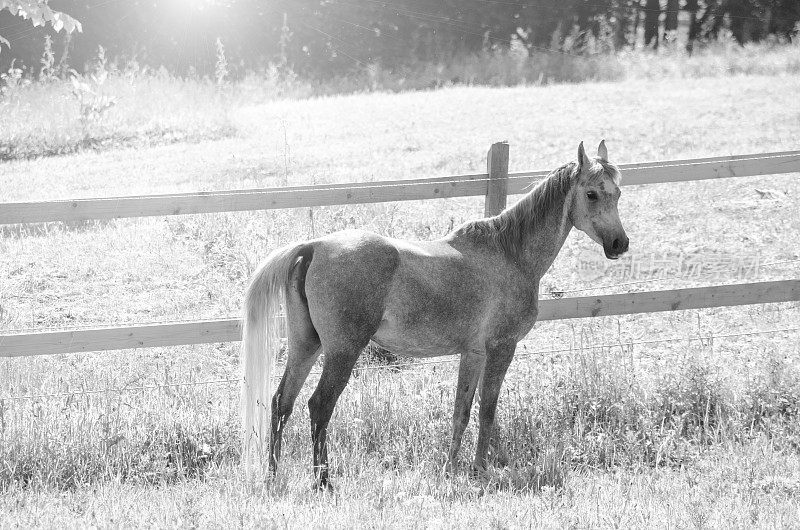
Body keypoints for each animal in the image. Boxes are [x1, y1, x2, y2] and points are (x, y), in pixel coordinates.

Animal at [241, 139, 628, 486]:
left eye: (618, 194)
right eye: (592, 194)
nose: (620, 244)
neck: (509, 255)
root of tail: (313, 246)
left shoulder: (473, 354)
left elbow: (462, 412)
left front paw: (451, 469)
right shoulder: (501, 349)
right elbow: (487, 411)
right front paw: (480, 470)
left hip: (306, 346)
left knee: (282, 403)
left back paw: (272, 477)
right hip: (342, 352)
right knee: (319, 406)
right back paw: (323, 481)